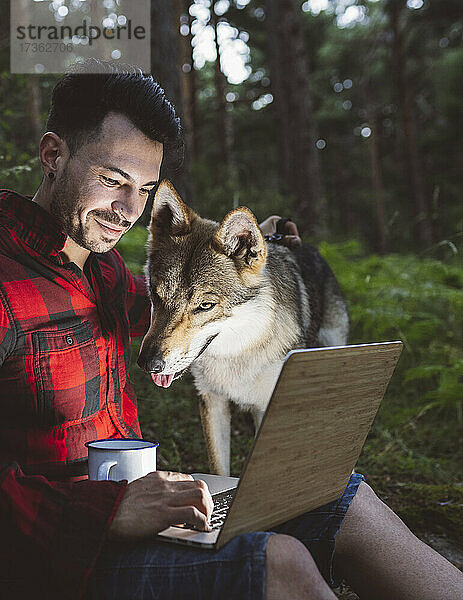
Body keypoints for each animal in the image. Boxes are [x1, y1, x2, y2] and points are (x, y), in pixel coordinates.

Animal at [138, 180, 348, 476]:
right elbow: (218, 468)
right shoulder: (212, 402)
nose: (149, 363)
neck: (238, 350)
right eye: (156, 295)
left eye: (205, 306)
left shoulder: (269, 410)